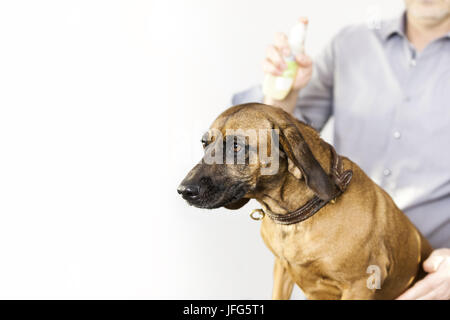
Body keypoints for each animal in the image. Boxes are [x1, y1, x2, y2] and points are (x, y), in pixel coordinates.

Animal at [177, 103, 432, 300]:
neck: (297, 219)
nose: (183, 190)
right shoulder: (281, 270)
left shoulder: (359, 285)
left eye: (237, 146)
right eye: (204, 143)